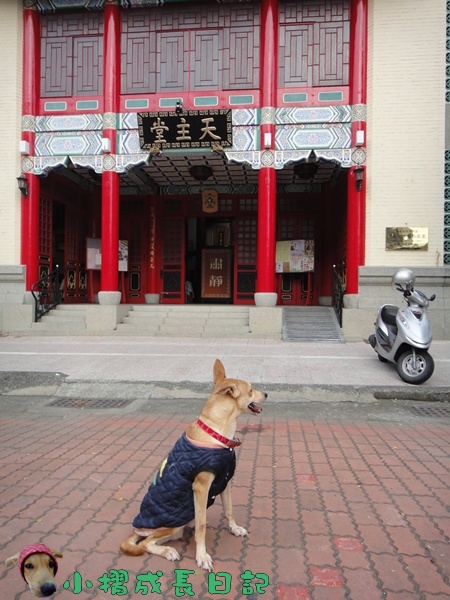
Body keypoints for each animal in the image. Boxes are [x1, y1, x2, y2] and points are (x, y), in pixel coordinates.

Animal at [119, 358, 268, 568]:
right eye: (251, 390)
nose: (267, 394)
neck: (217, 433)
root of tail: (137, 527)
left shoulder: (226, 481)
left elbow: (229, 510)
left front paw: (234, 528)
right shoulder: (201, 487)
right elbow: (202, 526)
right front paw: (202, 556)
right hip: (172, 524)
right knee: (145, 543)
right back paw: (167, 551)